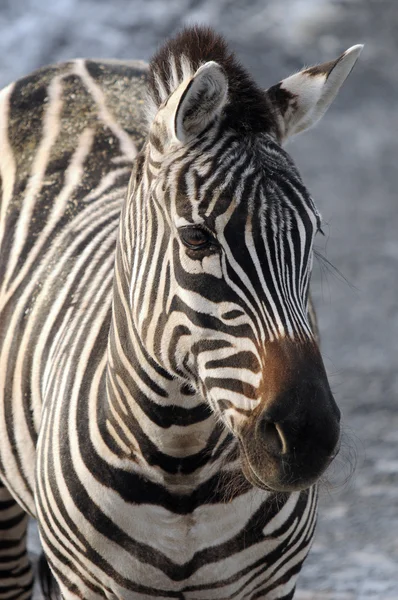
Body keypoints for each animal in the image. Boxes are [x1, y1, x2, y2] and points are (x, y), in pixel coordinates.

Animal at [0, 25, 360, 596]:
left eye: (313, 234)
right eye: (196, 239)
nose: (307, 437)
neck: (180, 461)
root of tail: (77, 64)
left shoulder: (274, 582)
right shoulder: (86, 583)